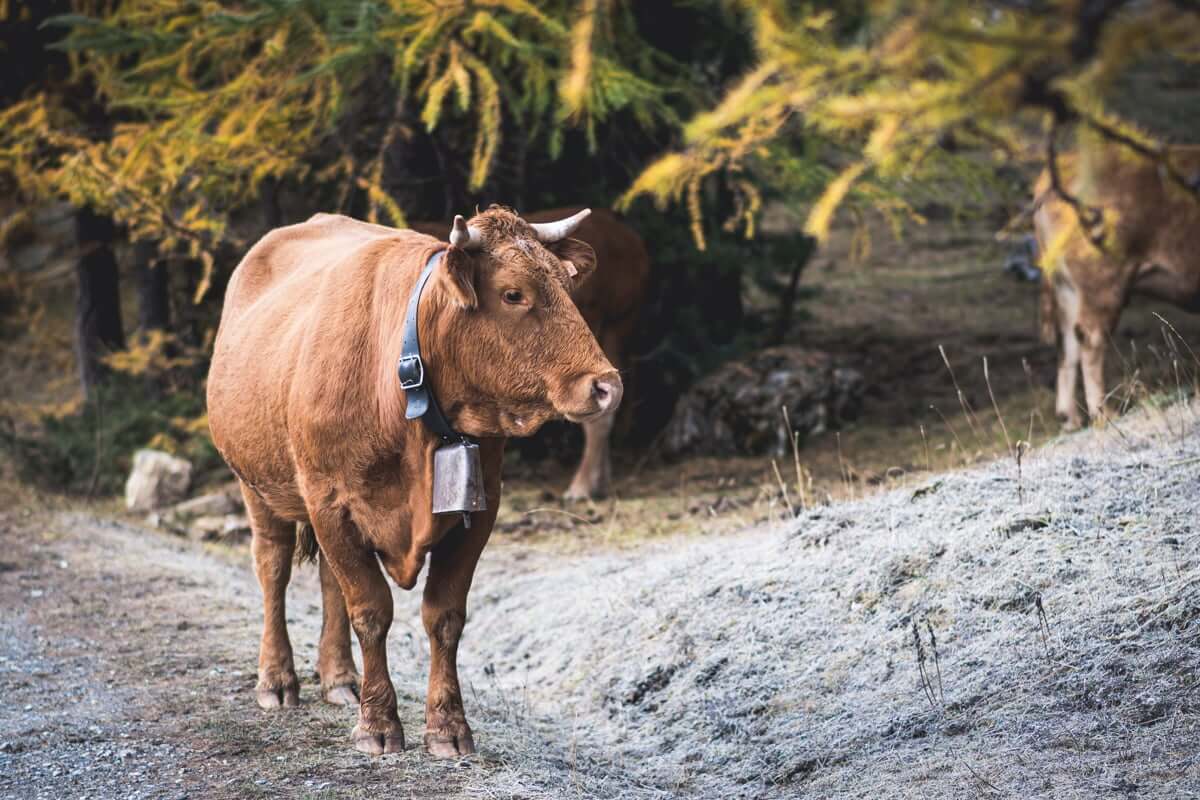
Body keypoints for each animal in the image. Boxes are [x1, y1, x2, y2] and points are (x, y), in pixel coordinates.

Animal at [205, 206, 624, 758]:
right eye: (513, 293)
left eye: (566, 285)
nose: (607, 386)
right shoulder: (330, 500)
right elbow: (371, 609)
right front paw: (378, 723)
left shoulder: (478, 511)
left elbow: (443, 615)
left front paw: (447, 726)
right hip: (257, 485)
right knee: (273, 567)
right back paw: (276, 679)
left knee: (329, 581)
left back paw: (340, 679)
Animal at [1032, 146, 1200, 429]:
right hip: (1103, 282)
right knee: (1090, 339)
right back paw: (1103, 413)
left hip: (1068, 289)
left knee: (1067, 342)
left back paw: (1070, 418)